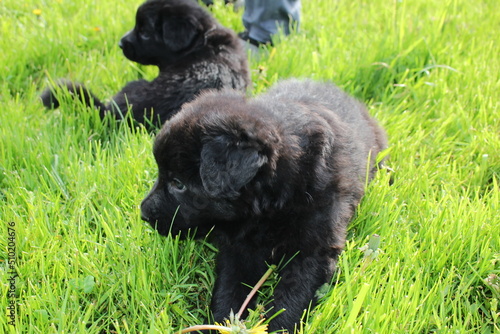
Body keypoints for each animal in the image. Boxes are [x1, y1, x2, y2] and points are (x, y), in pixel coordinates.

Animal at [141, 78, 386, 332]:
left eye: (178, 183)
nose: (144, 214)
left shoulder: (315, 249)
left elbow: (292, 298)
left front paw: (277, 327)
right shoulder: (238, 249)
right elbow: (229, 290)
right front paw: (224, 323)